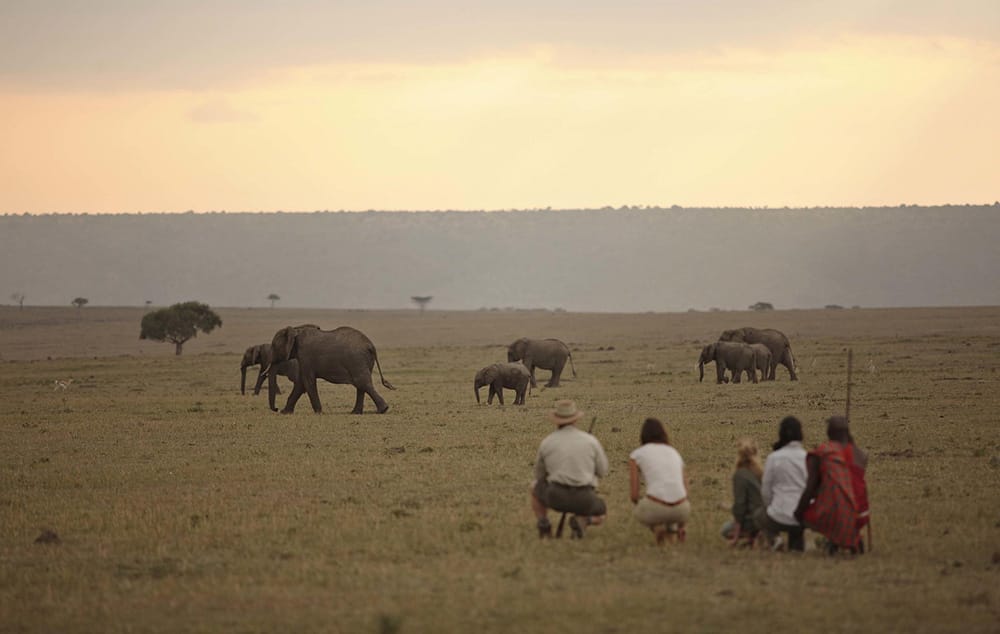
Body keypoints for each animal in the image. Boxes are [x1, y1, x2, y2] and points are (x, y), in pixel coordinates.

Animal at [266, 324, 395, 414]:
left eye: (273, 346)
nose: (276, 409)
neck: (296, 329)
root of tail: (371, 346)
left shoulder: (305, 356)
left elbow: (307, 382)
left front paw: (318, 412)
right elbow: (300, 383)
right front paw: (285, 412)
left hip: (357, 360)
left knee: (362, 382)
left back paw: (382, 410)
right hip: (363, 361)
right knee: (361, 385)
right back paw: (356, 413)